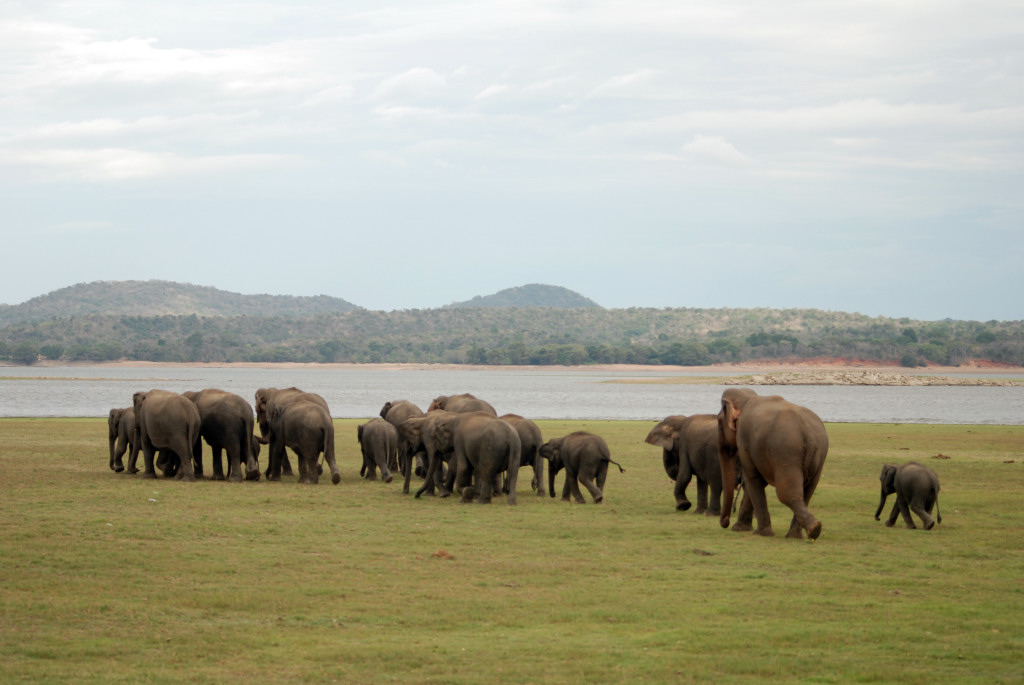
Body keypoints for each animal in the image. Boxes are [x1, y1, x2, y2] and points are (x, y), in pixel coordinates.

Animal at [718, 388, 828, 540]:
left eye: (718, 422)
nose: (725, 522)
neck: (748, 398)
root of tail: (809, 434)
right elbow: (757, 482)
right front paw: (741, 529)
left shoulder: (743, 440)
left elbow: (752, 479)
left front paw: (760, 533)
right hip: (819, 458)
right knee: (807, 493)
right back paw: (799, 534)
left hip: (786, 453)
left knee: (787, 493)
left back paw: (813, 529)